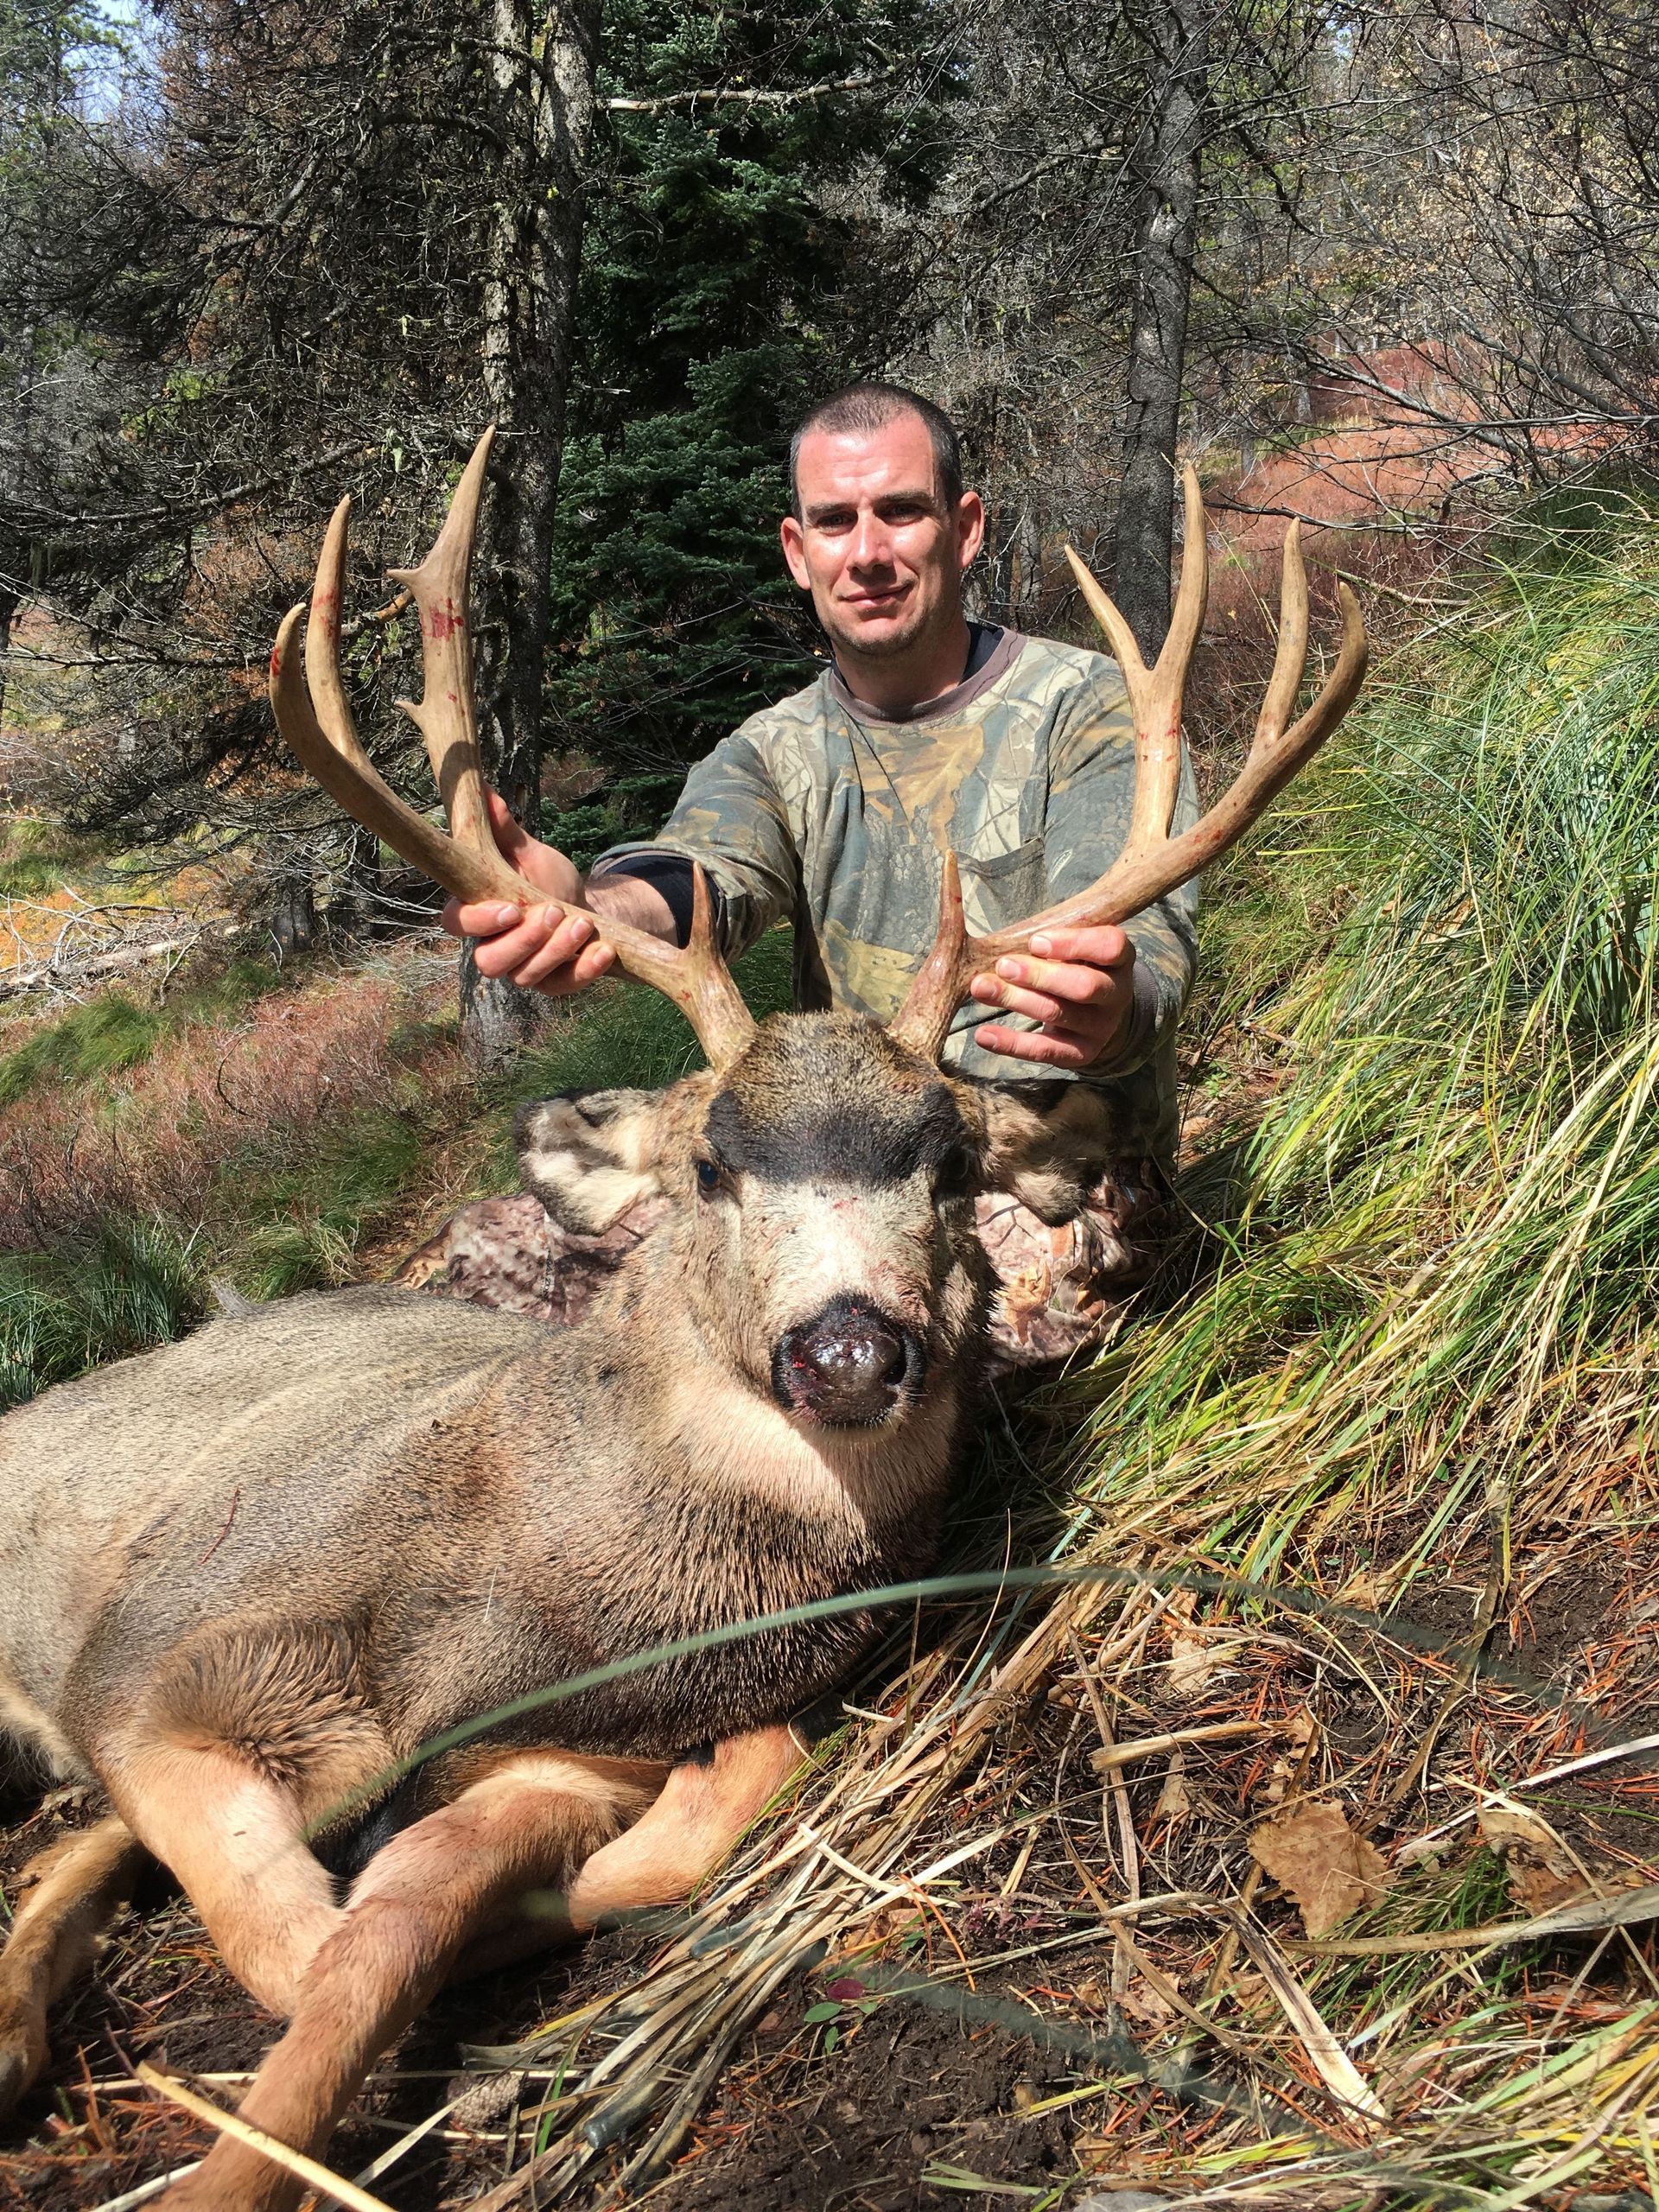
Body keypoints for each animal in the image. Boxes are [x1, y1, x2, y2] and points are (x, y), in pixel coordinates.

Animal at [0, 428, 1365, 2210]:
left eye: (946, 1161)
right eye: (714, 1163)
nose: (849, 1349)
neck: (518, 1609)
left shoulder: (586, 1748)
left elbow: (422, 1912)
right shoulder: (154, 1656)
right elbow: (298, 1944)